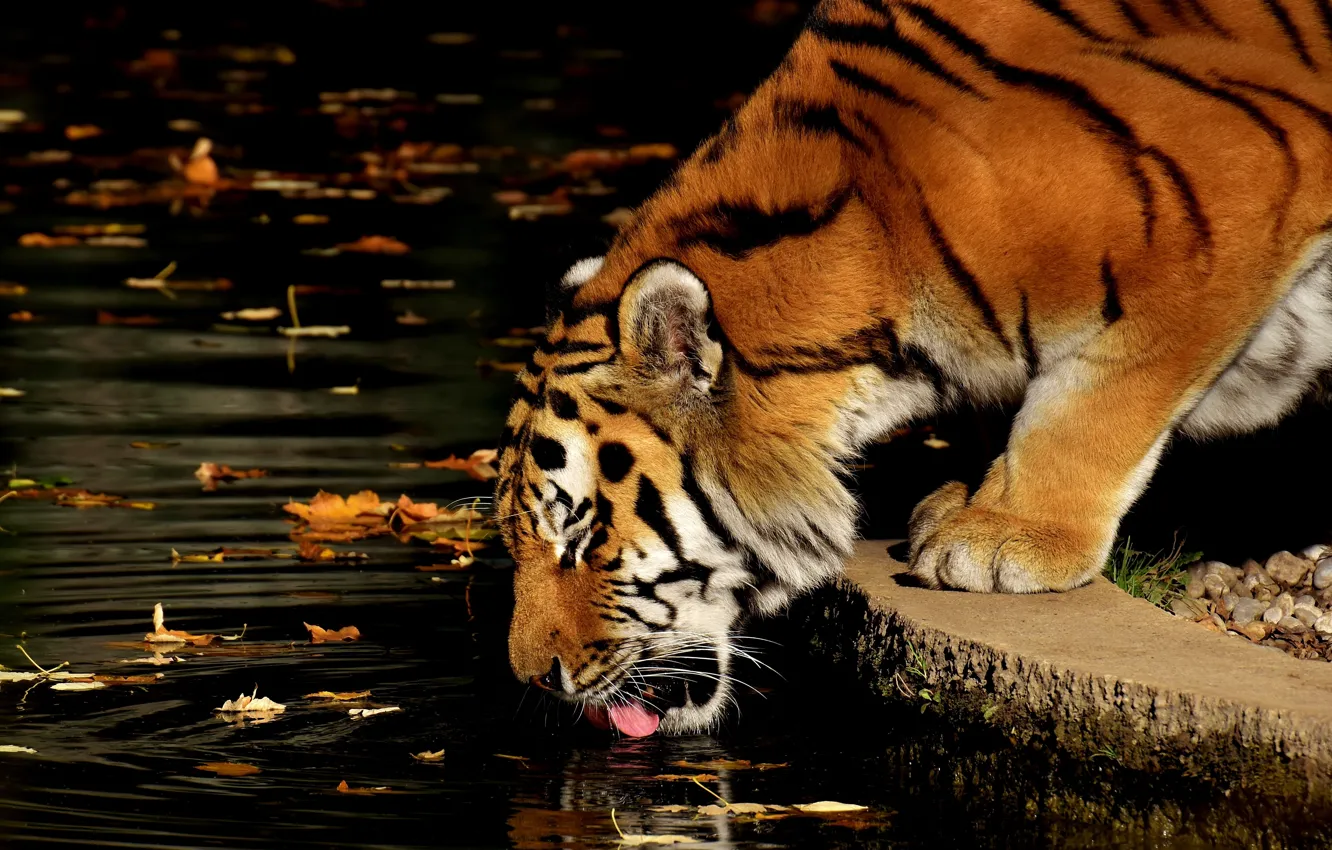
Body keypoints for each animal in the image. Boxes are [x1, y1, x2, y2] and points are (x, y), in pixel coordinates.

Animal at [496, 0, 1332, 735]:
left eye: (580, 537)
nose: (533, 678)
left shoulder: (1235, 194)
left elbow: (1100, 399)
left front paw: (1008, 534)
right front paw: (966, 495)